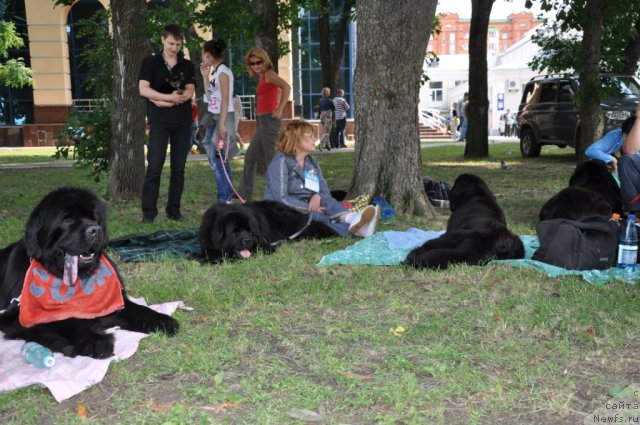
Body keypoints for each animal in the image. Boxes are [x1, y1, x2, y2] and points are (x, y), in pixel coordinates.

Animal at [0, 187, 179, 356]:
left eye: (93, 218)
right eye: (68, 219)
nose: (95, 230)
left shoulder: (115, 302)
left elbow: (137, 309)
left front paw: (161, 320)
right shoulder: (22, 317)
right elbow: (68, 320)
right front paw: (95, 341)